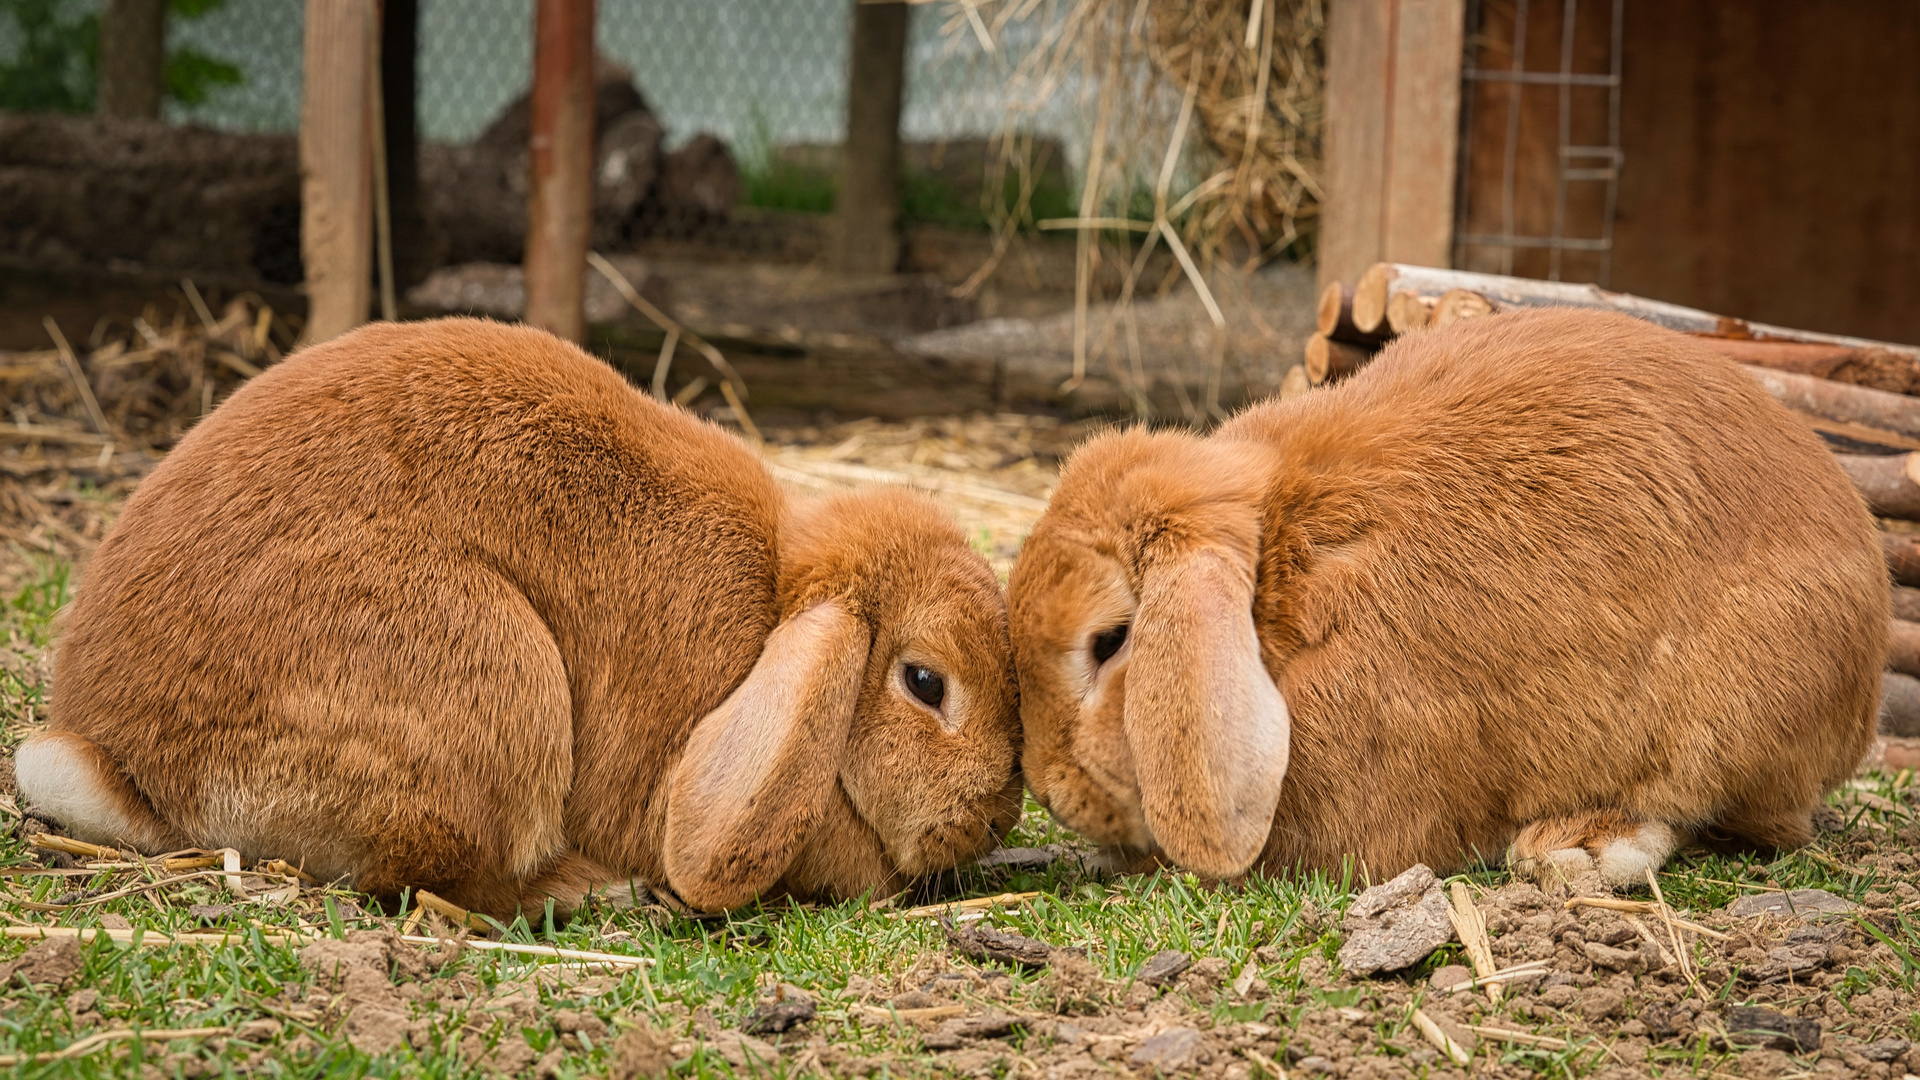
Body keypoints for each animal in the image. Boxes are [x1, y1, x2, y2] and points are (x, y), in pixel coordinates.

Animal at [11, 315, 1021, 910]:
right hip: (486, 681)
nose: (998, 819)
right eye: (925, 682)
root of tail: (122, 767)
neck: (775, 606)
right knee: (435, 879)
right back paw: (589, 889)